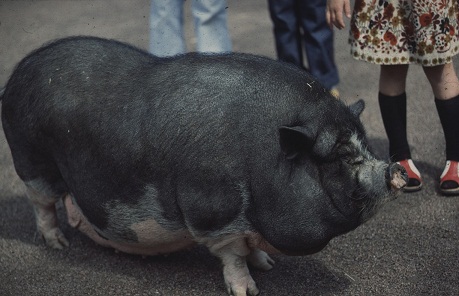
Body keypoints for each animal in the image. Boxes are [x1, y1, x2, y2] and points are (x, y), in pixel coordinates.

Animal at [1, 35, 408, 294]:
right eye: (341, 155)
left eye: (364, 143)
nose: (394, 171)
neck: (261, 164)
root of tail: (17, 75)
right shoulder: (215, 214)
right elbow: (233, 256)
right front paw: (249, 290)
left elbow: (252, 250)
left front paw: (268, 265)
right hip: (32, 159)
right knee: (41, 203)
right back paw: (57, 246)